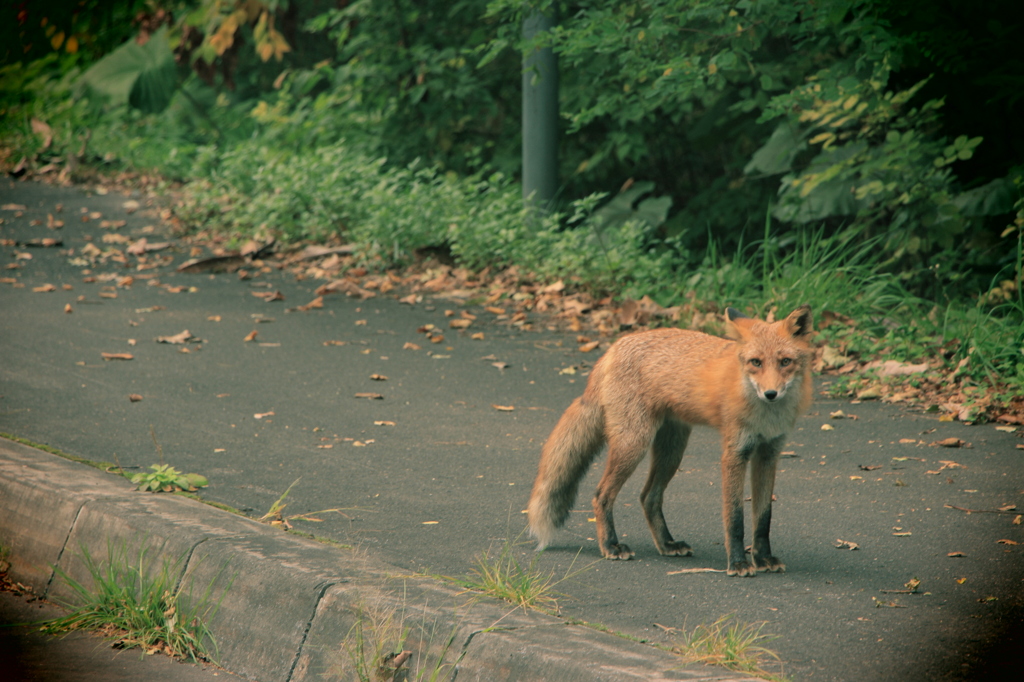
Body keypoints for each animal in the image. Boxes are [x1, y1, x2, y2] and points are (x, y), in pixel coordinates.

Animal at [532, 305, 811, 577]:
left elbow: (763, 518)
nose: (771, 394)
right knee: (602, 494)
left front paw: (763, 558)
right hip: (634, 444)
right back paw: (611, 545)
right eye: (756, 362)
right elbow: (735, 518)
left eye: (785, 362)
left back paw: (666, 544)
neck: (766, 415)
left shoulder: (768, 454)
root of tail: (613, 348)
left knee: (648, 497)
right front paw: (738, 563)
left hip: (672, 451)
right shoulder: (735, 453)